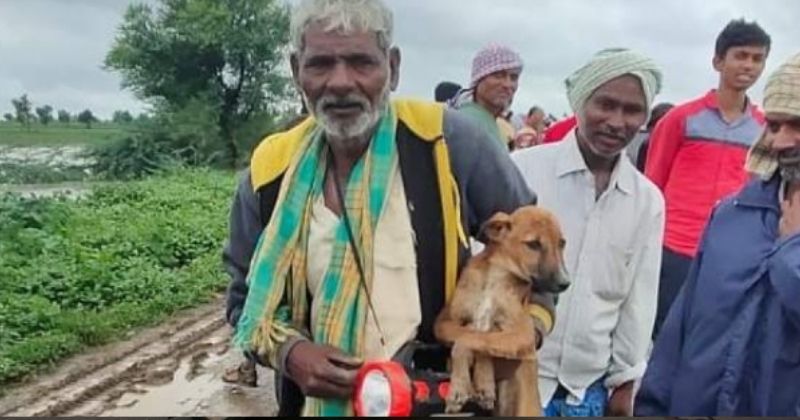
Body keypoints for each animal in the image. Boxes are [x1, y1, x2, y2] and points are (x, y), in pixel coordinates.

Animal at [432, 205, 568, 416]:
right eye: (534, 244)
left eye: (562, 243)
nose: (565, 283)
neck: (496, 278)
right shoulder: (444, 322)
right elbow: (467, 337)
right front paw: (461, 386)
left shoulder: (522, 334)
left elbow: (475, 339)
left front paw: (481, 382)